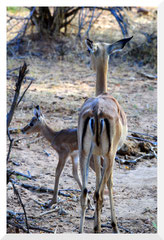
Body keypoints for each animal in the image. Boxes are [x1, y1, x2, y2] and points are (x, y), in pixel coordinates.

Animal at [78, 36, 133, 233]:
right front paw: (113, 225)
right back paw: (100, 229)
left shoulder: (95, 154)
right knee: (99, 193)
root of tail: (97, 110)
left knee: (85, 192)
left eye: (89, 51)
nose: (89, 65)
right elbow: (109, 182)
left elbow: (96, 181)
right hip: (108, 155)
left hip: (84, 153)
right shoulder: (112, 154)